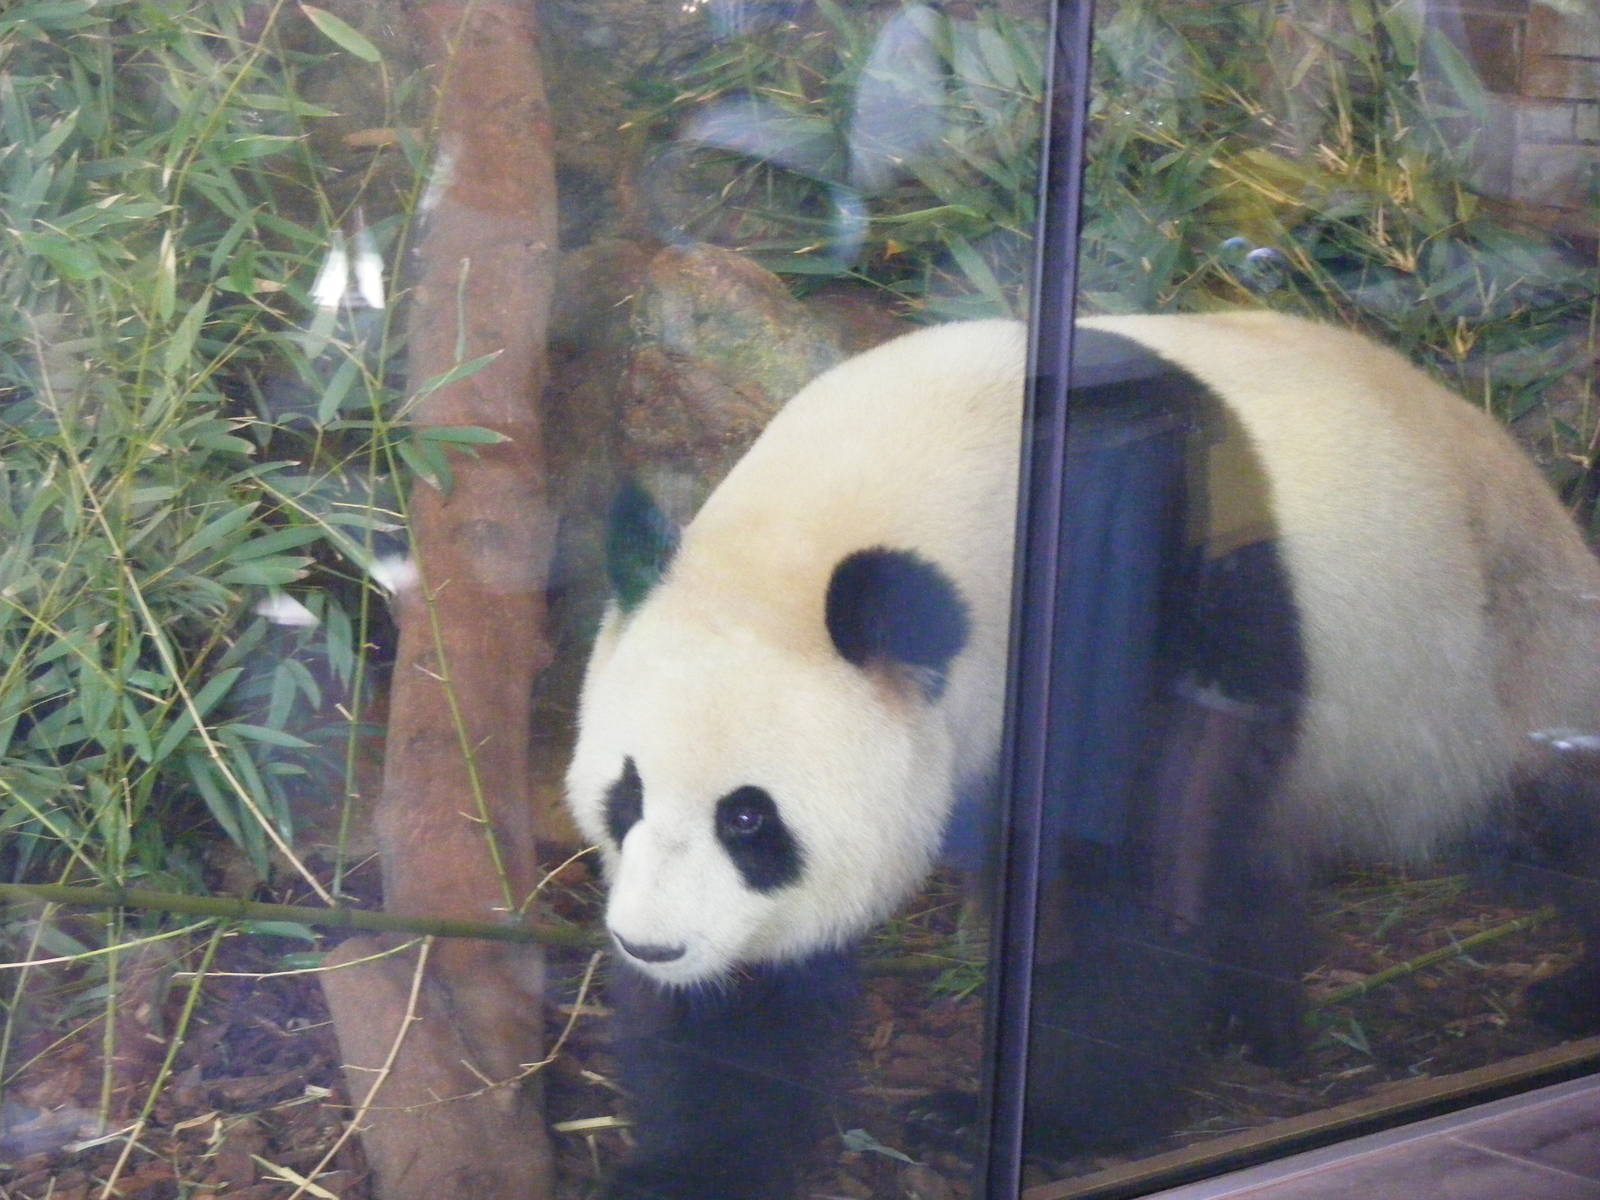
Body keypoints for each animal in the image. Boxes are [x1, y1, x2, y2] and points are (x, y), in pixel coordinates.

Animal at [564, 312, 1600, 1200]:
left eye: (749, 818)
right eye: (628, 794)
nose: (651, 944)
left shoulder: (1138, 567)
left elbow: (1127, 867)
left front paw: (1038, 1121)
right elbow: (757, 991)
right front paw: (694, 1158)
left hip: (1493, 668)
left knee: (1548, 812)